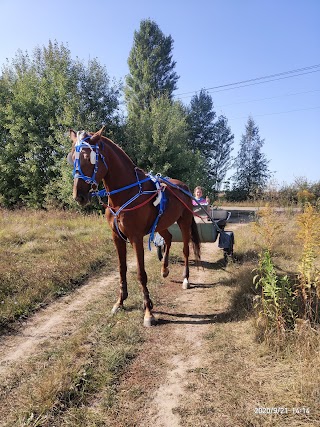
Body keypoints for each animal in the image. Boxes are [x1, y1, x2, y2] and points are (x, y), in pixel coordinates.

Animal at [68, 127, 200, 328]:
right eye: (72, 157)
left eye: (89, 157)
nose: (79, 196)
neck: (125, 194)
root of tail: (183, 187)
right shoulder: (117, 237)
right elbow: (122, 269)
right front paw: (120, 302)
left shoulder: (136, 237)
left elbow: (140, 273)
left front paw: (148, 312)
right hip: (161, 225)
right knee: (168, 238)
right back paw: (164, 269)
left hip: (184, 222)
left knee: (185, 250)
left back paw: (186, 279)